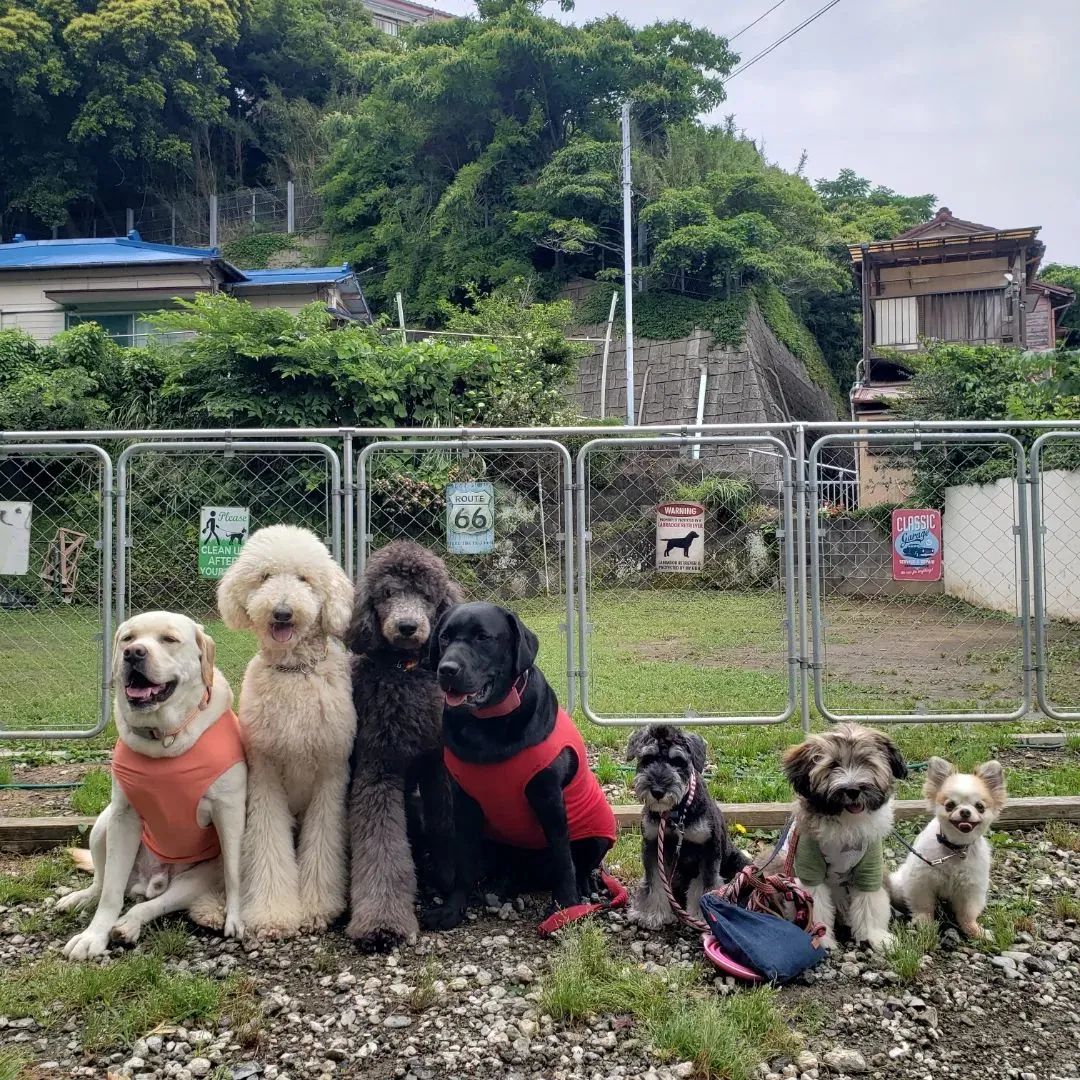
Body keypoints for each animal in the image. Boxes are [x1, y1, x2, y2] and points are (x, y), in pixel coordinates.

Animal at [218, 522, 354, 937]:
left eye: (304, 579)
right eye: (264, 576)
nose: (282, 612)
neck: (294, 673)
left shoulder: (330, 773)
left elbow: (323, 844)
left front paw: (316, 908)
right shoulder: (264, 772)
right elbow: (267, 844)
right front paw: (273, 914)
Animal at [347, 544, 462, 950]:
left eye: (426, 595)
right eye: (387, 593)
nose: (408, 627)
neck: (406, 671)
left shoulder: (438, 764)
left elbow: (448, 823)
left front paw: (450, 879)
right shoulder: (379, 768)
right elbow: (381, 844)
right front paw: (383, 924)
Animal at [622, 725, 747, 928]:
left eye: (678, 761)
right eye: (647, 758)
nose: (658, 791)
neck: (676, 812)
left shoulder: (708, 849)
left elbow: (705, 885)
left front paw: (703, 915)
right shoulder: (652, 845)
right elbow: (654, 881)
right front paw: (652, 913)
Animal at [781, 725, 907, 946]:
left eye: (866, 762)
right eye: (833, 765)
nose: (853, 789)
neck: (847, 822)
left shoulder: (870, 866)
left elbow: (870, 901)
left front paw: (875, 935)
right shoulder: (809, 867)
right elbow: (815, 902)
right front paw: (821, 937)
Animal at [885, 760, 1002, 937]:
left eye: (980, 806)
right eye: (950, 805)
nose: (965, 812)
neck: (955, 849)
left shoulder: (970, 888)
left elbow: (967, 914)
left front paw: (974, 930)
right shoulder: (922, 882)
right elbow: (924, 908)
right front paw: (924, 924)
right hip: (900, 885)